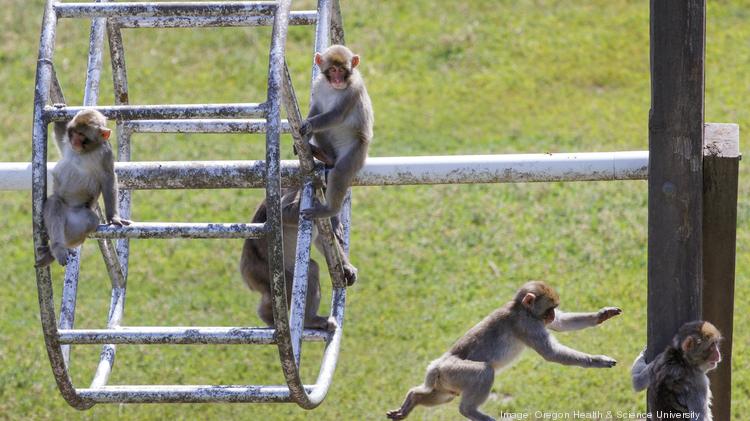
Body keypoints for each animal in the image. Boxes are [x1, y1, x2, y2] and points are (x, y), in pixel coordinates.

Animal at [36, 109, 131, 267]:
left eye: (81, 135)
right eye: (73, 133)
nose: (74, 141)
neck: (84, 152)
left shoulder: (105, 154)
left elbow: (109, 178)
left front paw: (113, 217)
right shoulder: (67, 143)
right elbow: (59, 133)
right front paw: (59, 106)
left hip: (78, 218)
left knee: (90, 220)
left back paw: (53, 252)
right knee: (55, 203)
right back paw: (58, 247)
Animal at [240, 188, 358, 329]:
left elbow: (323, 238)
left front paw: (347, 267)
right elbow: (283, 212)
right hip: (261, 270)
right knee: (303, 277)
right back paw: (308, 320)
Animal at [298, 44, 373, 219]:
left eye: (342, 70)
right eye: (332, 70)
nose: (338, 80)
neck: (332, 88)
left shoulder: (353, 89)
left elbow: (337, 115)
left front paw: (309, 125)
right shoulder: (318, 85)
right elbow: (317, 108)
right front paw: (307, 130)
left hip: (357, 150)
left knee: (340, 172)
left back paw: (330, 210)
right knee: (323, 132)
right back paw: (327, 157)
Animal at [386, 281, 621, 421]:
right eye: (549, 308)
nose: (552, 315)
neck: (521, 308)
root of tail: (439, 363)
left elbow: (562, 324)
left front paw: (601, 315)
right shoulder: (527, 324)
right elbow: (551, 353)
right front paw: (598, 360)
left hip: (445, 383)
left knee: (440, 396)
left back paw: (413, 398)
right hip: (454, 371)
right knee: (484, 372)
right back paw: (471, 412)